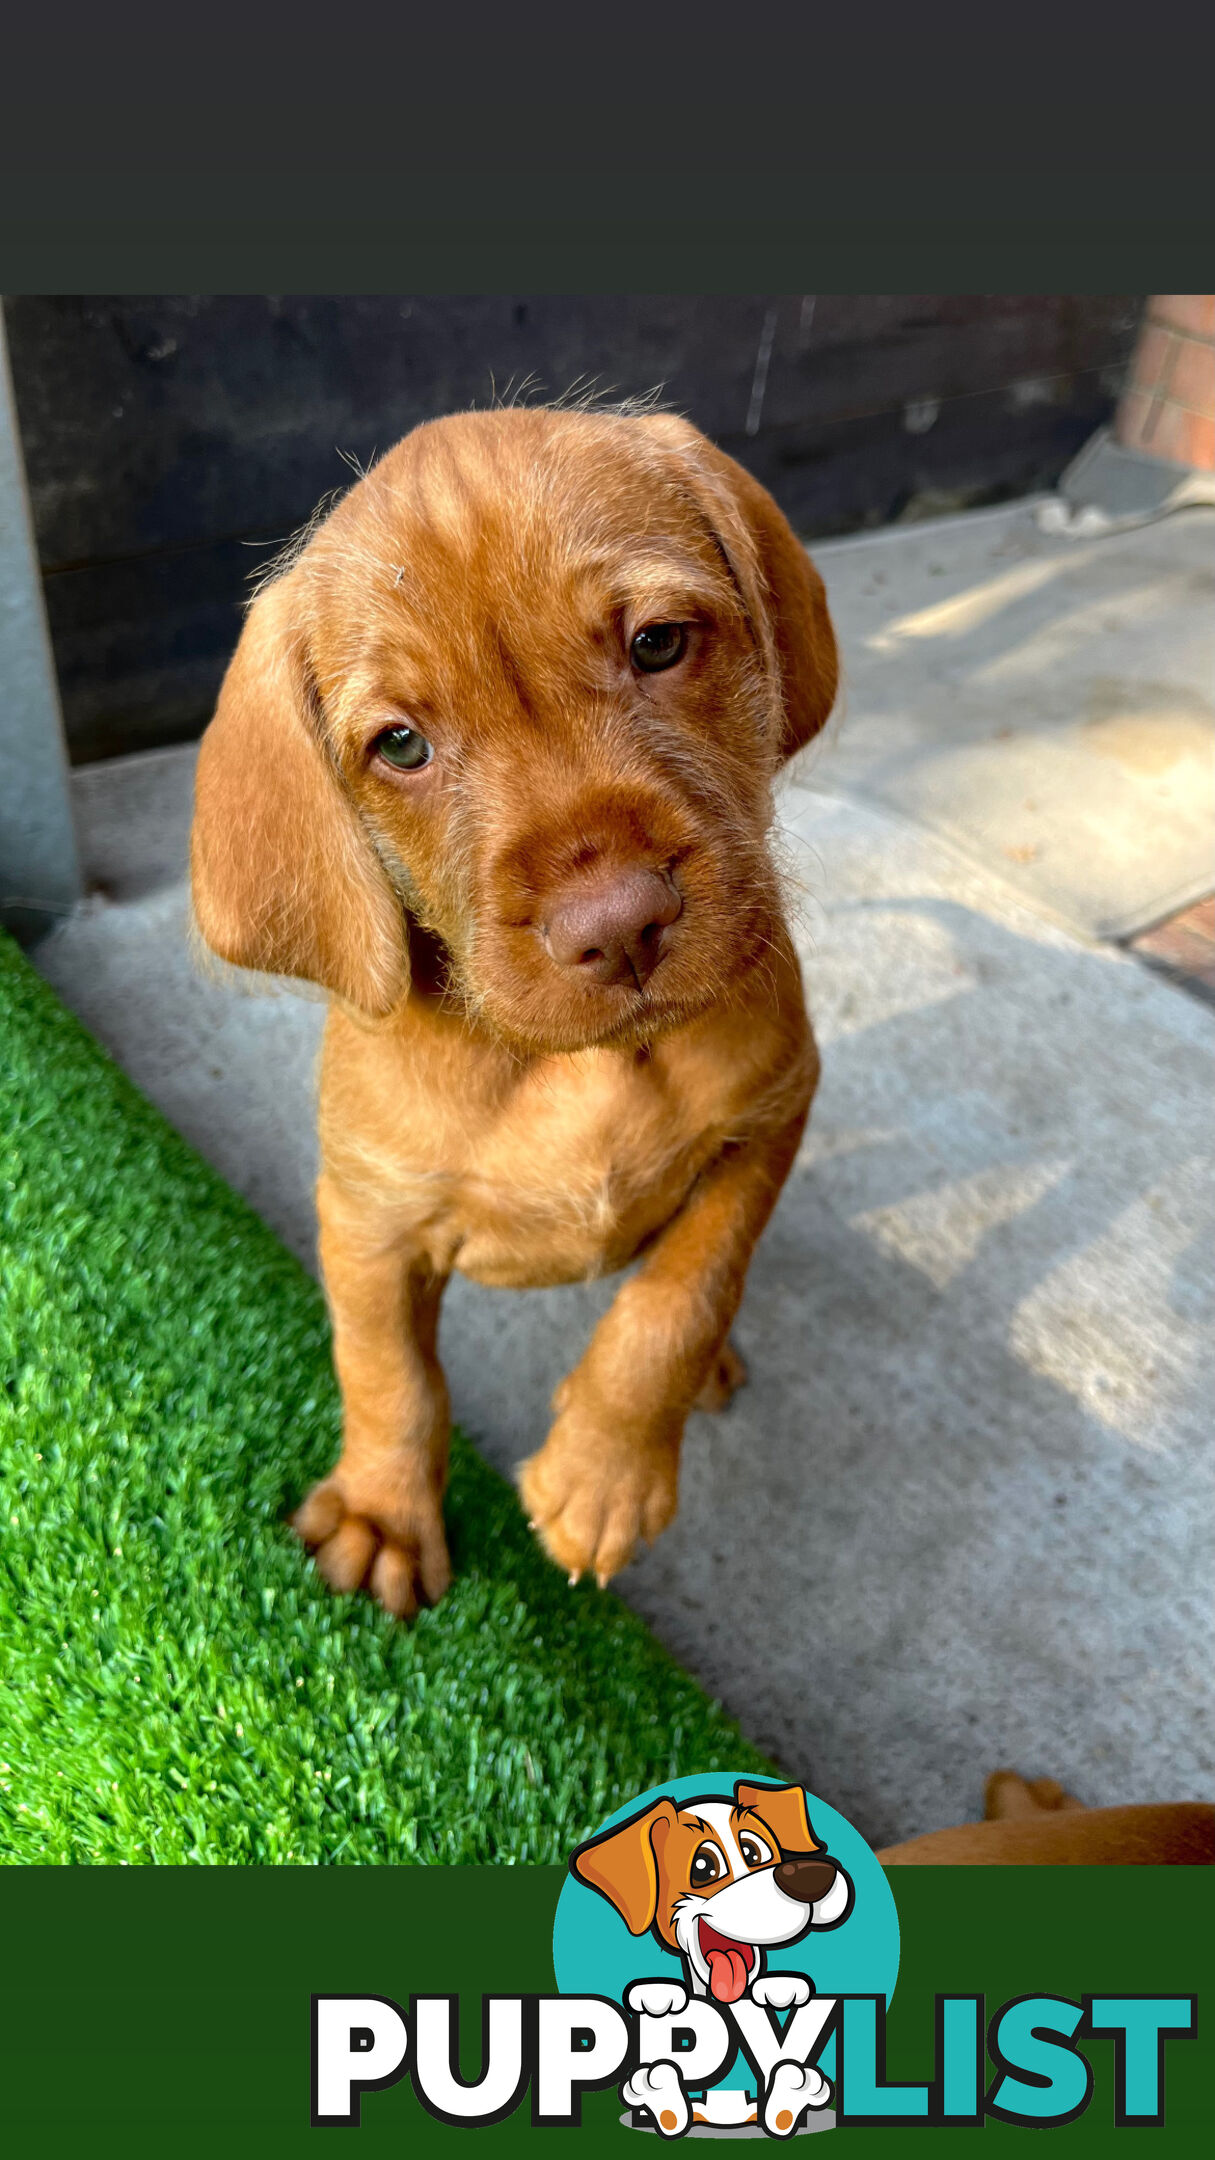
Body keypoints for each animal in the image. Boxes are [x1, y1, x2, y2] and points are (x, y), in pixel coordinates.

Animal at [191, 408, 830, 1624]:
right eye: (400, 745)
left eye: (658, 643)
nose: (618, 924)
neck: (573, 1067)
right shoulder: (368, 1222)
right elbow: (389, 1375)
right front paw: (384, 1515)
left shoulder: (771, 1117)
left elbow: (685, 1293)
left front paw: (604, 1474)